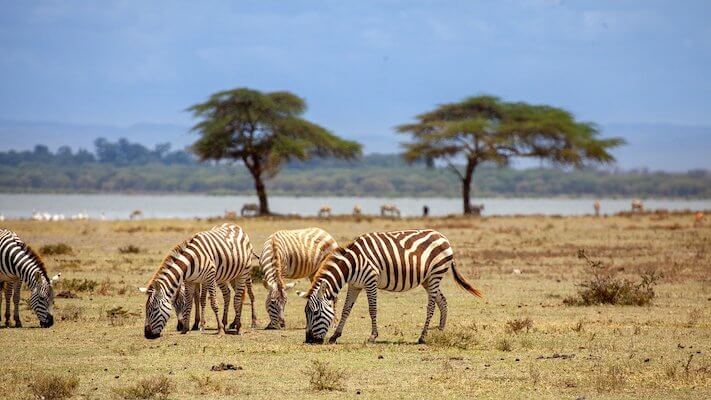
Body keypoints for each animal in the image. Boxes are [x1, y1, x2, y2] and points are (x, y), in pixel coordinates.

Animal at [300, 228, 484, 344]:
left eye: (315, 313)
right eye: (306, 313)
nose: (309, 340)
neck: (351, 264)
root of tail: (444, 237)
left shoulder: (370, 281)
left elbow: (372, 309)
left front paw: (373, 336)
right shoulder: (355, 285)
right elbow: (346, 310)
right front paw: (335, 335)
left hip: (435, 274)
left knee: (431, 306)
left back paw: (422, 337)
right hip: (427, 279)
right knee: (443, 301)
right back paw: (440, 331)